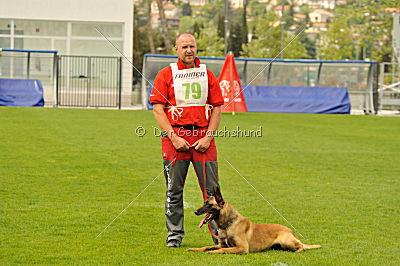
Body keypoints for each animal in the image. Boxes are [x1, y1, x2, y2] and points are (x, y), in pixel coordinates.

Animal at [188, 187, 322, 254]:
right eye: (204, 202)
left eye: (208, 204)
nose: (195, 212)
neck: (227, 225)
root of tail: (290, 230)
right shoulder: (221, 244)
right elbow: (207, 247)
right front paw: (195, 249)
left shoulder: (242, 248)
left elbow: (222, 249)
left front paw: (213, 252)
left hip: (286, 242)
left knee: (301, 246)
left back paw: (298, 251)